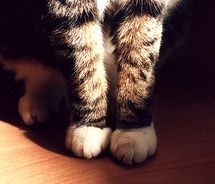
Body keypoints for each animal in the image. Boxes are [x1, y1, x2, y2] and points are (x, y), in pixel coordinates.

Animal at [0, 0, 189, 164]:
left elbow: (139, 59)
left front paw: (133, 131)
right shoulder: (67, 7)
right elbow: (83, 59)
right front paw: (90, 127)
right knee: (37, 65)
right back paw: (39, 97)